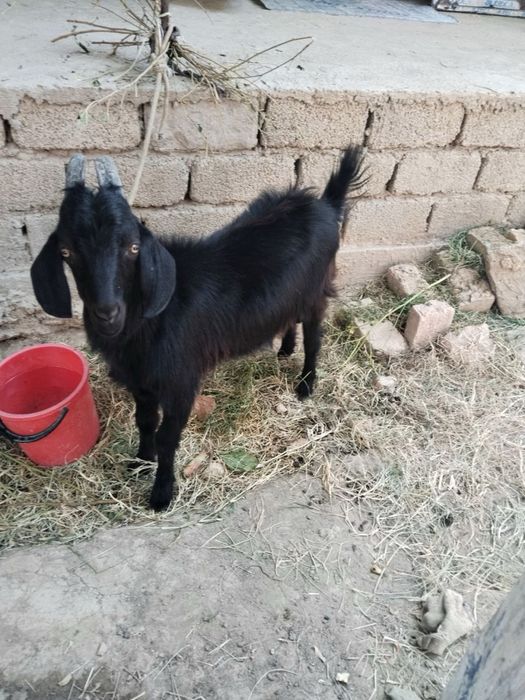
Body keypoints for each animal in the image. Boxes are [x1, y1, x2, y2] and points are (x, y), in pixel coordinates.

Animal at [30, 147, 364, 511]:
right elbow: (144, 422)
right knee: (290, 319)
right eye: (66, 251)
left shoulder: (180, 382)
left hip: (317, 292)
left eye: (133, 247)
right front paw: (140, 462)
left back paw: (305, 385)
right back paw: (285, 349)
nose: (106, 313)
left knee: (315, 337)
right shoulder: (141, 382)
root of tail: (325, 204)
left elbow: (167, 437)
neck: (147, 322)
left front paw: (161, 494)